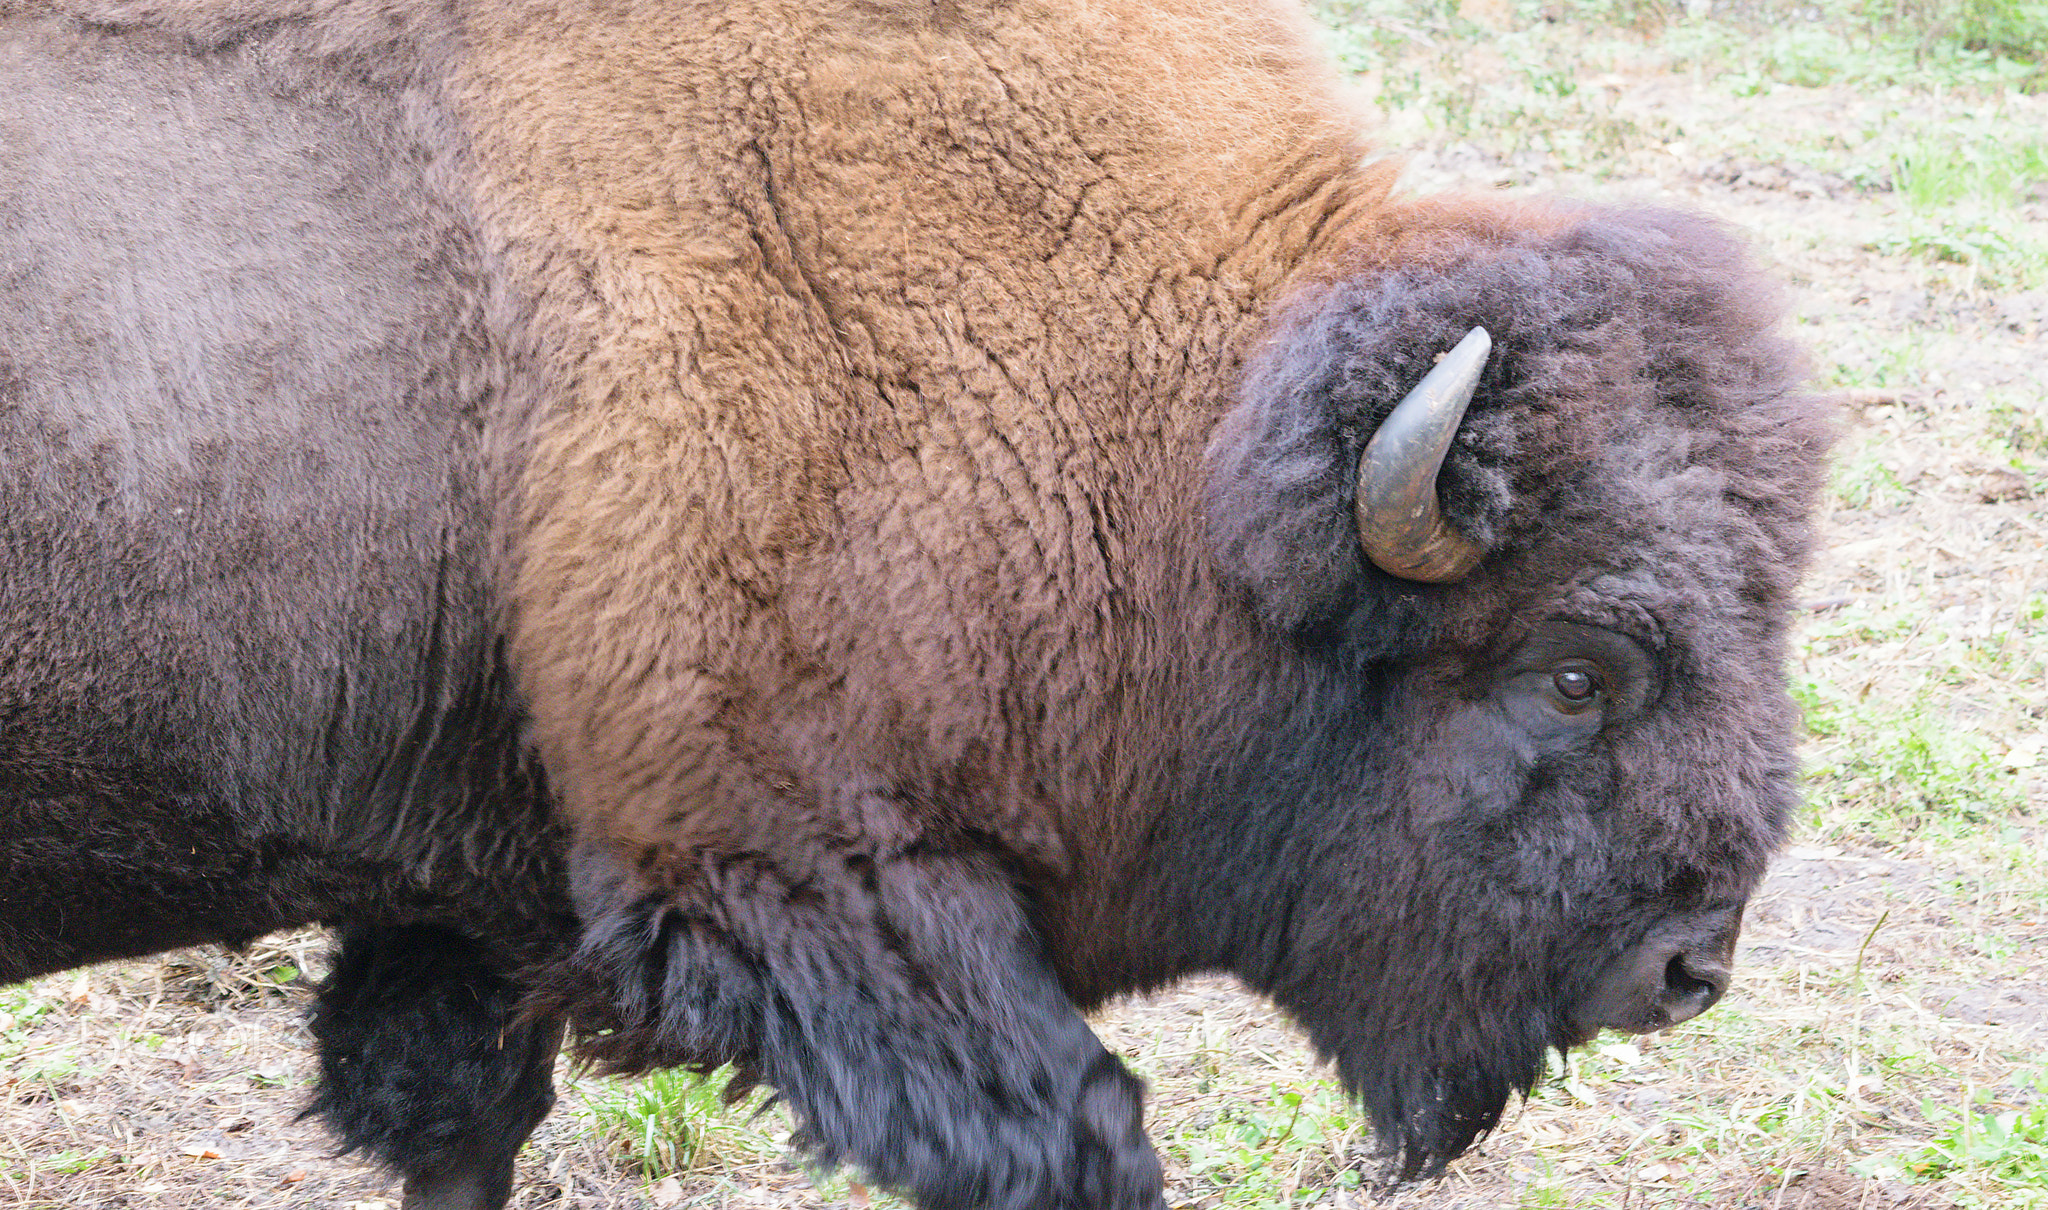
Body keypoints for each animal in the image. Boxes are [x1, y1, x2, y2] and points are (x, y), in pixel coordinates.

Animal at [0, 0, 1833, 1207]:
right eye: (1575, 673)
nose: (1687, 966)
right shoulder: (810, 871)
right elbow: (1072, 1136)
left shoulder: (471, 894)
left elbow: (459, 1120)